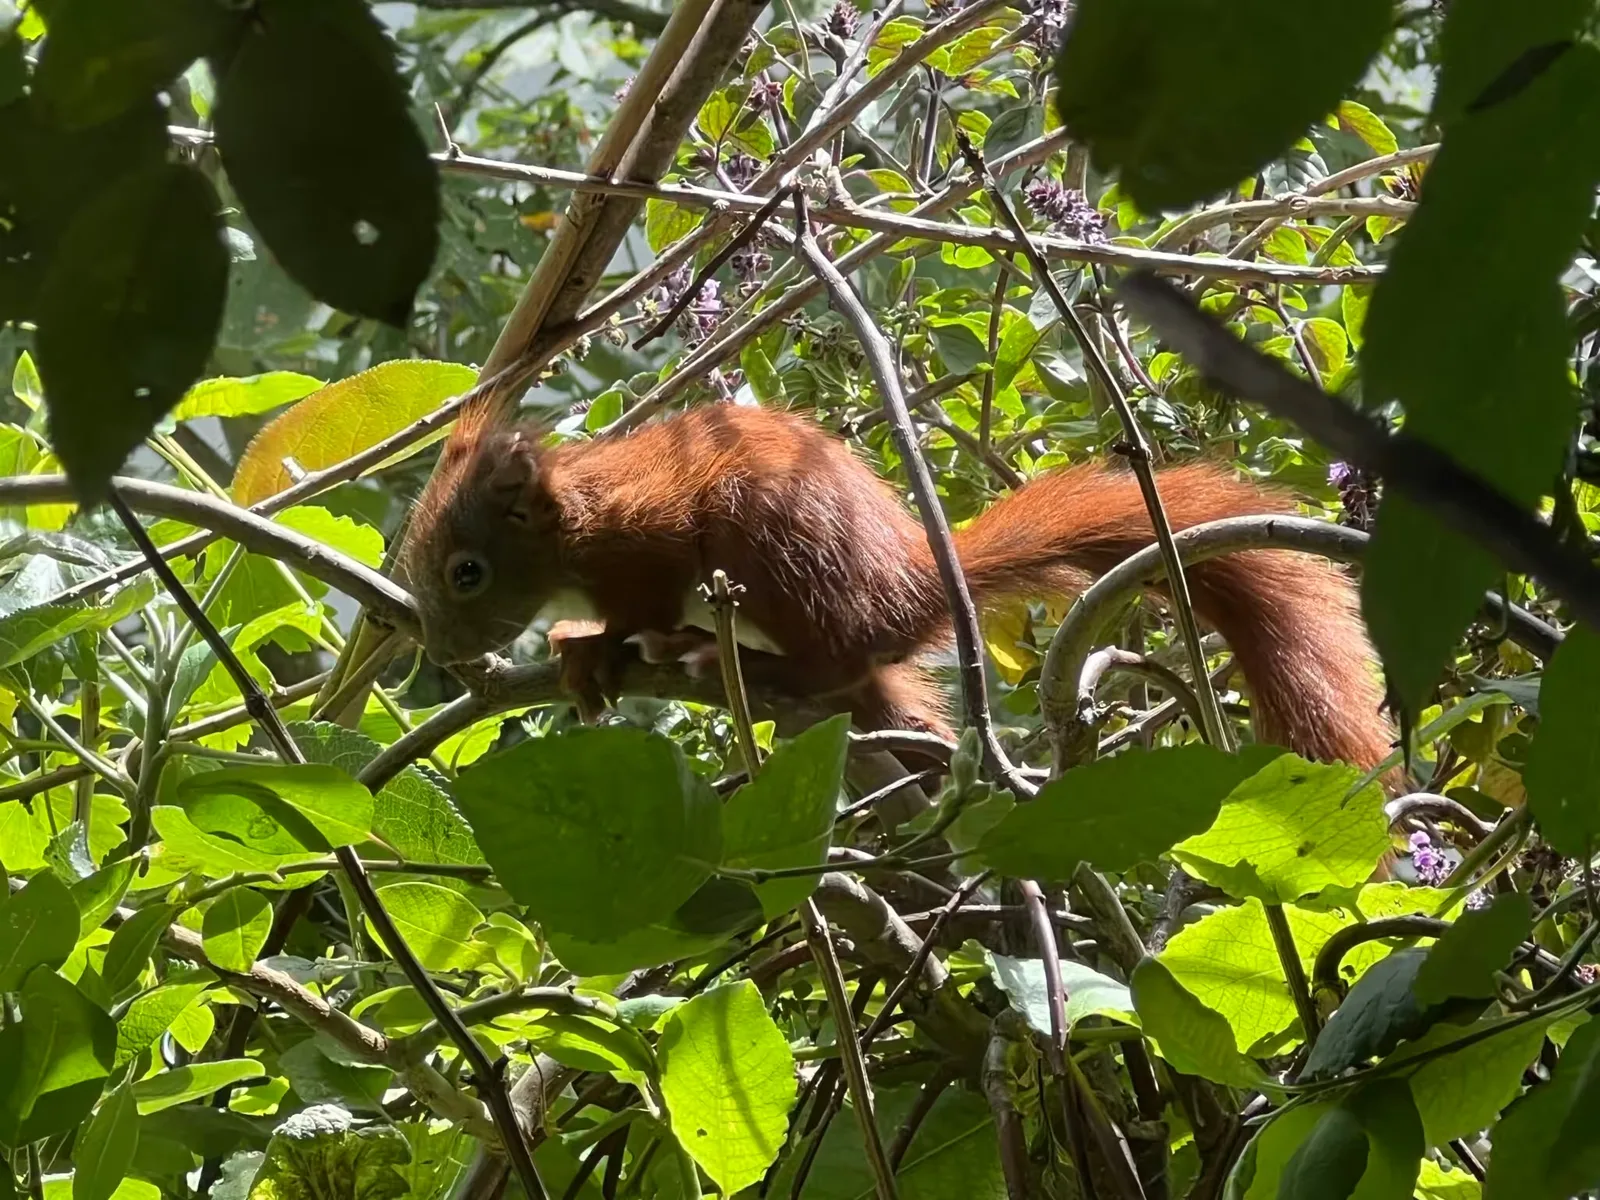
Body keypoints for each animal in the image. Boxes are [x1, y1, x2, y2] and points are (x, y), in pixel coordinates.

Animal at [399, 400, 1392, 774]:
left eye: (466, 572)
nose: (442, 652)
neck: (572, 524)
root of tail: (912, 590)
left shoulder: (648, 542)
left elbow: (636, 605)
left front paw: (597, 649)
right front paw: (578, 653)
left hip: (772, 556)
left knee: (830, 659)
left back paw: (726, 660)